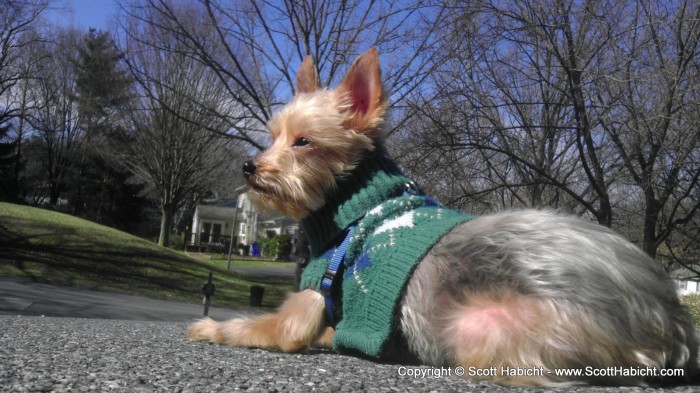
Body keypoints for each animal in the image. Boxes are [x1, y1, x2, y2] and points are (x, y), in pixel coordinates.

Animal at [189, 47, 696, 384]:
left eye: (304, 142)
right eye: (272, 136)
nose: (249, 167)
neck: (353, 207)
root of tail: (669, 318)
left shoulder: (305, 306)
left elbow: (257, 326)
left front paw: (209, 326)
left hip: (480, 331)